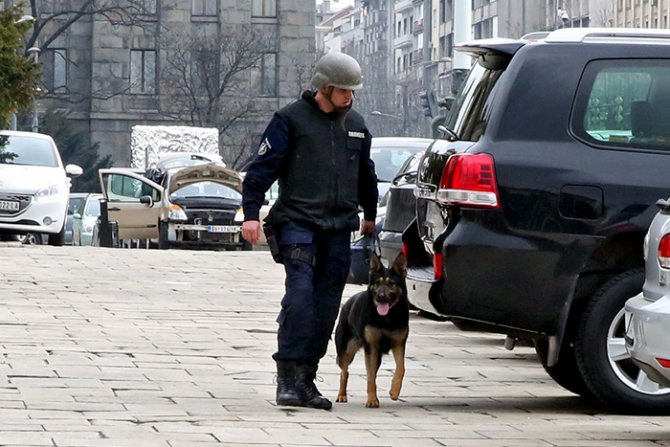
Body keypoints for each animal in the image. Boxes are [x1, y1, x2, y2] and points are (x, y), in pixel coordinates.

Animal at [336, 252, 410, 410]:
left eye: (391, 283)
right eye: (377, 283)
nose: (380, 297)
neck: (386, 318)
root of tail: (347, 303)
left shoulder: (398, 343)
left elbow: (401, 368)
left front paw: (395, 391)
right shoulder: (371, 347)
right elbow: (370, 378)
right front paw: (371, 400)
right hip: (347, 350)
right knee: (344, 372)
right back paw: (342, 395)